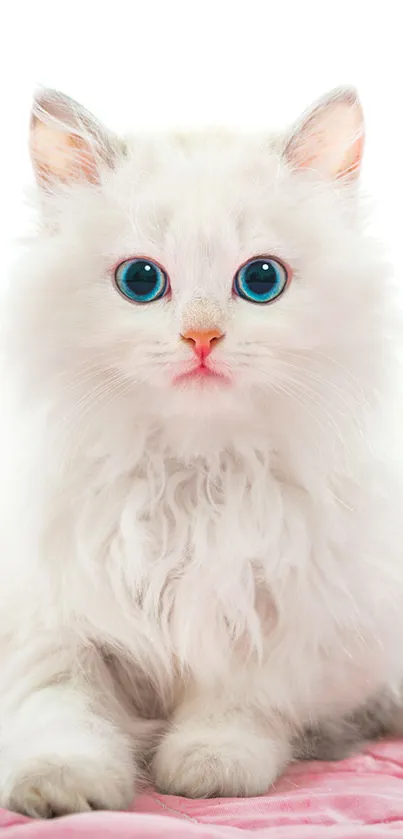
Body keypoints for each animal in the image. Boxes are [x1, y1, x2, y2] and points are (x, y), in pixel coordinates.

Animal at [0, 88, 403, 816]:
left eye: (262, 280)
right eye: (139, 280)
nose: (201, 338)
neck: (192, 474)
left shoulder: (282, 618)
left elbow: (237, 706)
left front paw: (209, 766)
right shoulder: (47, 624)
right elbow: (62, 712)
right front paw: (62, 787)